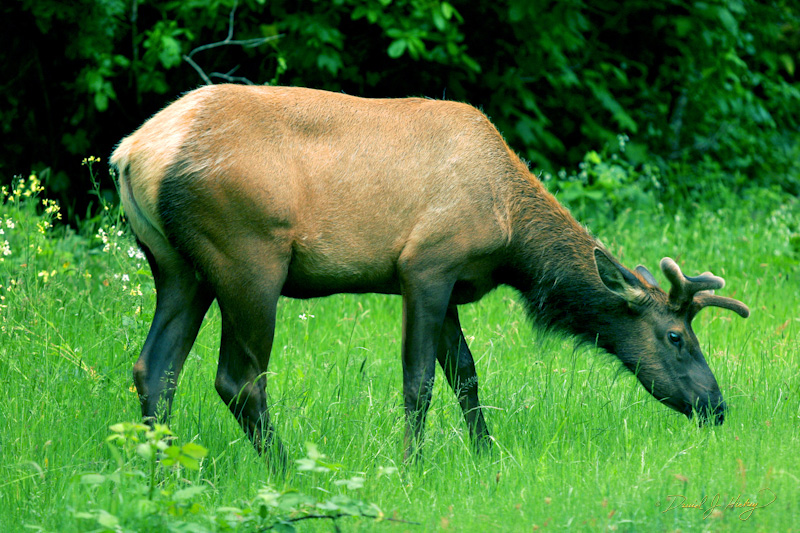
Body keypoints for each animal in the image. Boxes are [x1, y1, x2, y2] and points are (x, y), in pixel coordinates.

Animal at [111, 84, 750, 464]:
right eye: (676, 336)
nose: (716, 405)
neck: (511, 233)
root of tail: (131, 154)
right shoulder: (426, 265)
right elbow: (418, 382)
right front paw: (412, 463)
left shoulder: (451, 288)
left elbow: (466, 375)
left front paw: (486, 457)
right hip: (249, 259)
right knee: (238, 378)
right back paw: (287, 470)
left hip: (177, 266)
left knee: (155, 368)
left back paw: (159, 469)